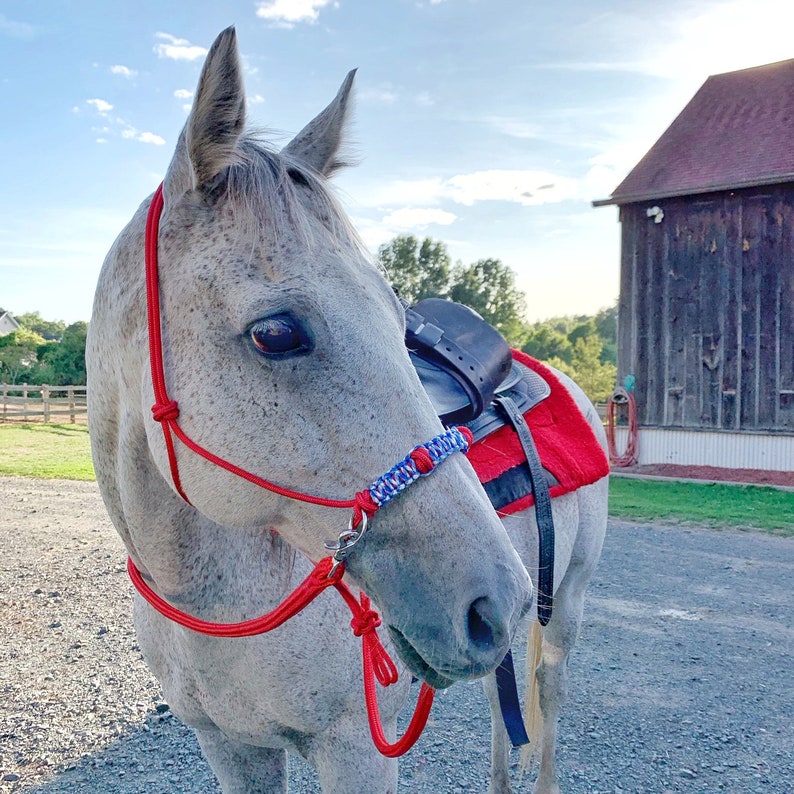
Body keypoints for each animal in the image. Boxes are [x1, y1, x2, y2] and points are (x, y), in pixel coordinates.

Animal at [86, 26, 608, 792]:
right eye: (276, 333)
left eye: (397, 320)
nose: (493, 598)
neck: (216, 600)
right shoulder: (230, 749)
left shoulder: (356, 750)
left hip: (562, 606)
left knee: (547, 700)